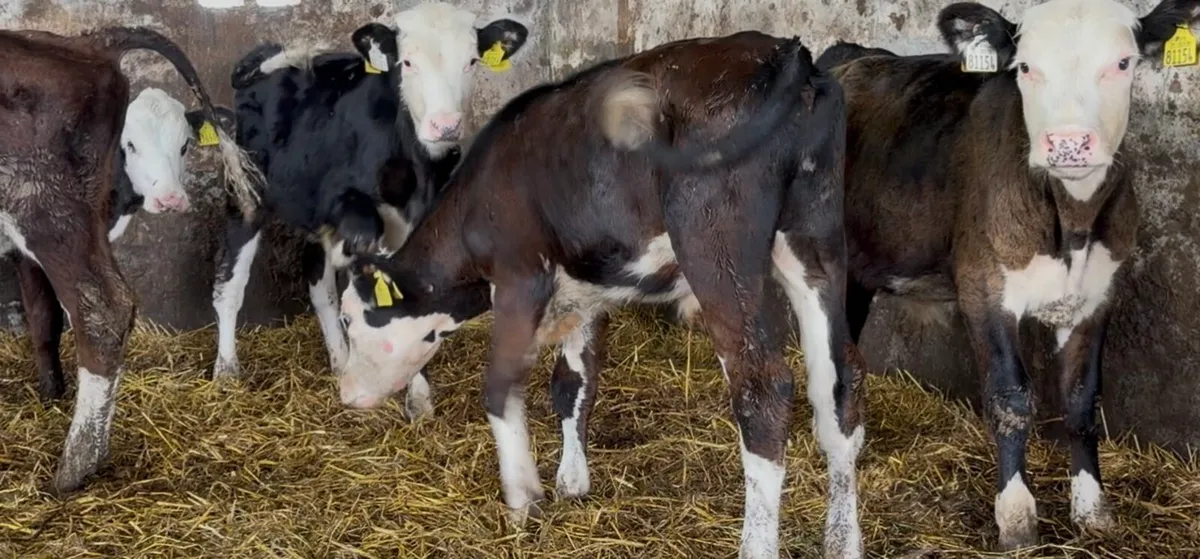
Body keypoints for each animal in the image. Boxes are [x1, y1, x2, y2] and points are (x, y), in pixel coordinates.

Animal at [212, 2, 529, 421]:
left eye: (472, 61)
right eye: (407, 62)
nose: (445, 126)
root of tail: (264, 55)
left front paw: (418, 397)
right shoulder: (350, 209)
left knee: (319, 285)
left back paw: (340, 360)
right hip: (246, 191)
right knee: (230, 284)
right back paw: (226, 370)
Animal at [334, 31, 866, 559]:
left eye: (348, 320)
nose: (346, 393)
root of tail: (783, 53)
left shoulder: (519, 277)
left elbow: (500, 387)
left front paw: (523, 498)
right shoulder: (582, 287)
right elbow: (572, 381)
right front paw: (572, 480)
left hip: (716, 245)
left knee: (764, 389)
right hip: (816, 238)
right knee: (839, 385)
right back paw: (843, 542)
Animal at [814, 0, 1200, 550]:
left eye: (1123, 63)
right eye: (1025, 67)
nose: (1068, 144)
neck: (1070, 223)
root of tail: (850, 52)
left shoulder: (1099, 295)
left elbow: (1082, 399)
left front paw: (1092, 509)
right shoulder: (984, 290)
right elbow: (1011, 397)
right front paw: (1017, 518)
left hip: (863, 269)